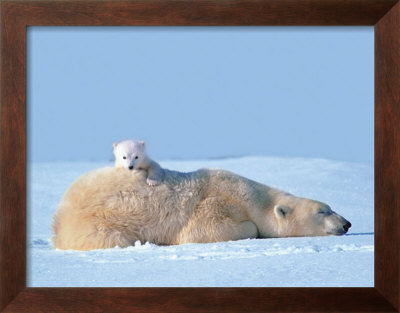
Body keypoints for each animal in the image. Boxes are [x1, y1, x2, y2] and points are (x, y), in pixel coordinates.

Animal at [51, 167, 352, 250]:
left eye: (330, 207)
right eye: (323, 211)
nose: (347, 223)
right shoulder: (215, 204)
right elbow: (204, 231)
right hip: (97, 223)